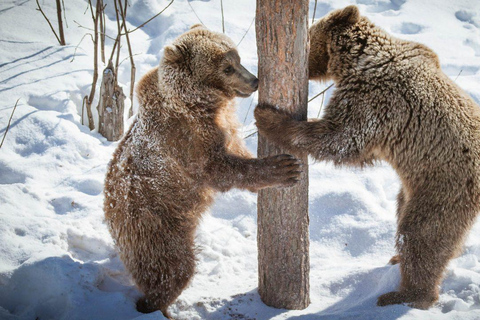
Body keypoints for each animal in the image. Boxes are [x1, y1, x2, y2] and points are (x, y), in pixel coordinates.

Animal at [103, 25, 302, 318]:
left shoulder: (221, 125)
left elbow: (234, 149)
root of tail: (111, 217)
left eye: (237, 58)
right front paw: (283, 168)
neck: (200, 104)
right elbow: (218, 169)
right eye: (227, 67)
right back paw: (154, 305)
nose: (254, 81)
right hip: (155, 226)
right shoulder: (184, 139)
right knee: (172, 269)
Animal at [256, 5, 480, 310]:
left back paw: (405, 294)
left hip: (444, 186)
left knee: (421, 235)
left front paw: (268, 117)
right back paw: (399, 260)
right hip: (415, 187)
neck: (359, 61)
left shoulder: (376, 100)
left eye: (309, 39)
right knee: (407, 214)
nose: (305, 68)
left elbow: (341, 138)